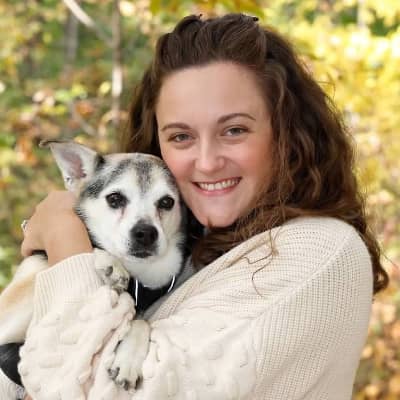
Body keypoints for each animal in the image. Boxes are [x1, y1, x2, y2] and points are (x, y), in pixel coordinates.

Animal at [0, 140, 192, 398]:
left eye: (166, 202)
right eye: (115, 198)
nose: (145, 233)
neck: (138, 276)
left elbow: (141, 322)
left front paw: (128, 361)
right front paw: (110, 262)